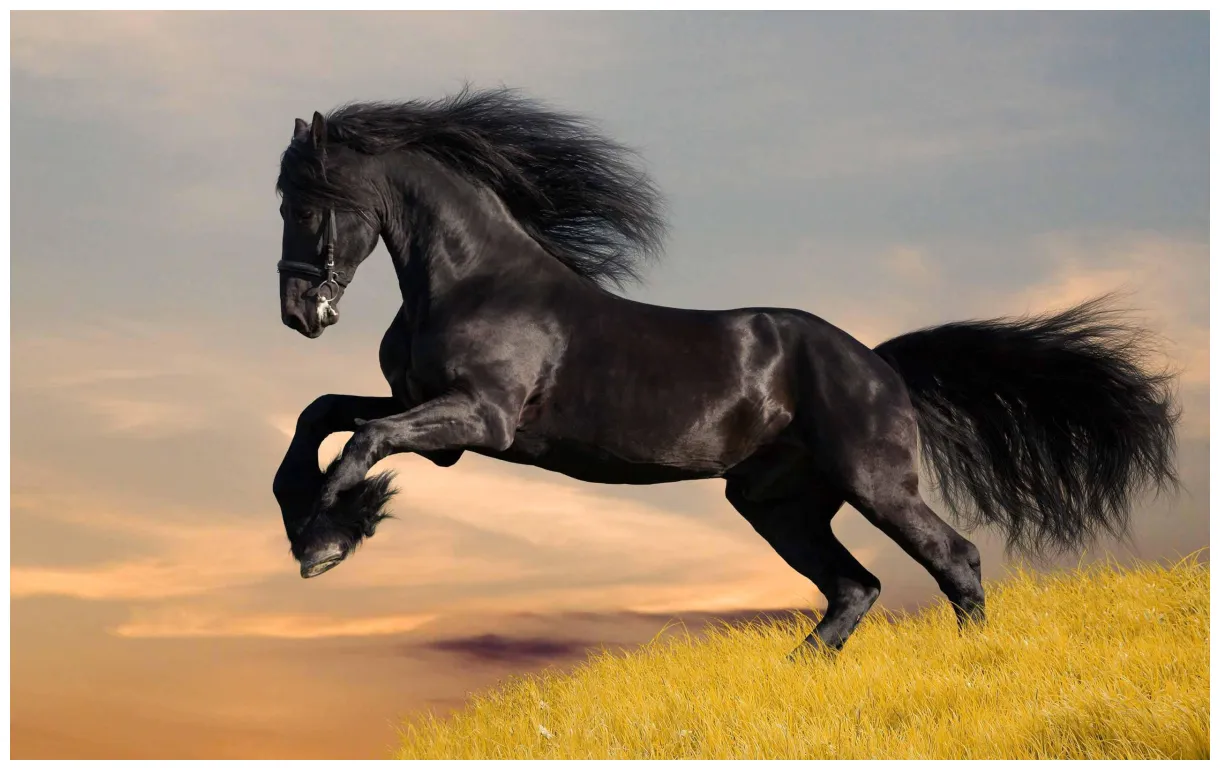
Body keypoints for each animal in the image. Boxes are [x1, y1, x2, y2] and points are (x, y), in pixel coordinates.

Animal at [271, 88, 1179, 655]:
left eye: (307, 203)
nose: (298, 313)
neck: (474, 279)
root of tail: (878, 363)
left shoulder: (478, 421)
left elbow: (361, 442)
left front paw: (329, 538)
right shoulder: (432, 416)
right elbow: (321, 415)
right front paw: (316, 523)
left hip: (874, 482)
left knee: (953, 559)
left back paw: (968, 664)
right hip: (776, 501)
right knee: (854, 587)